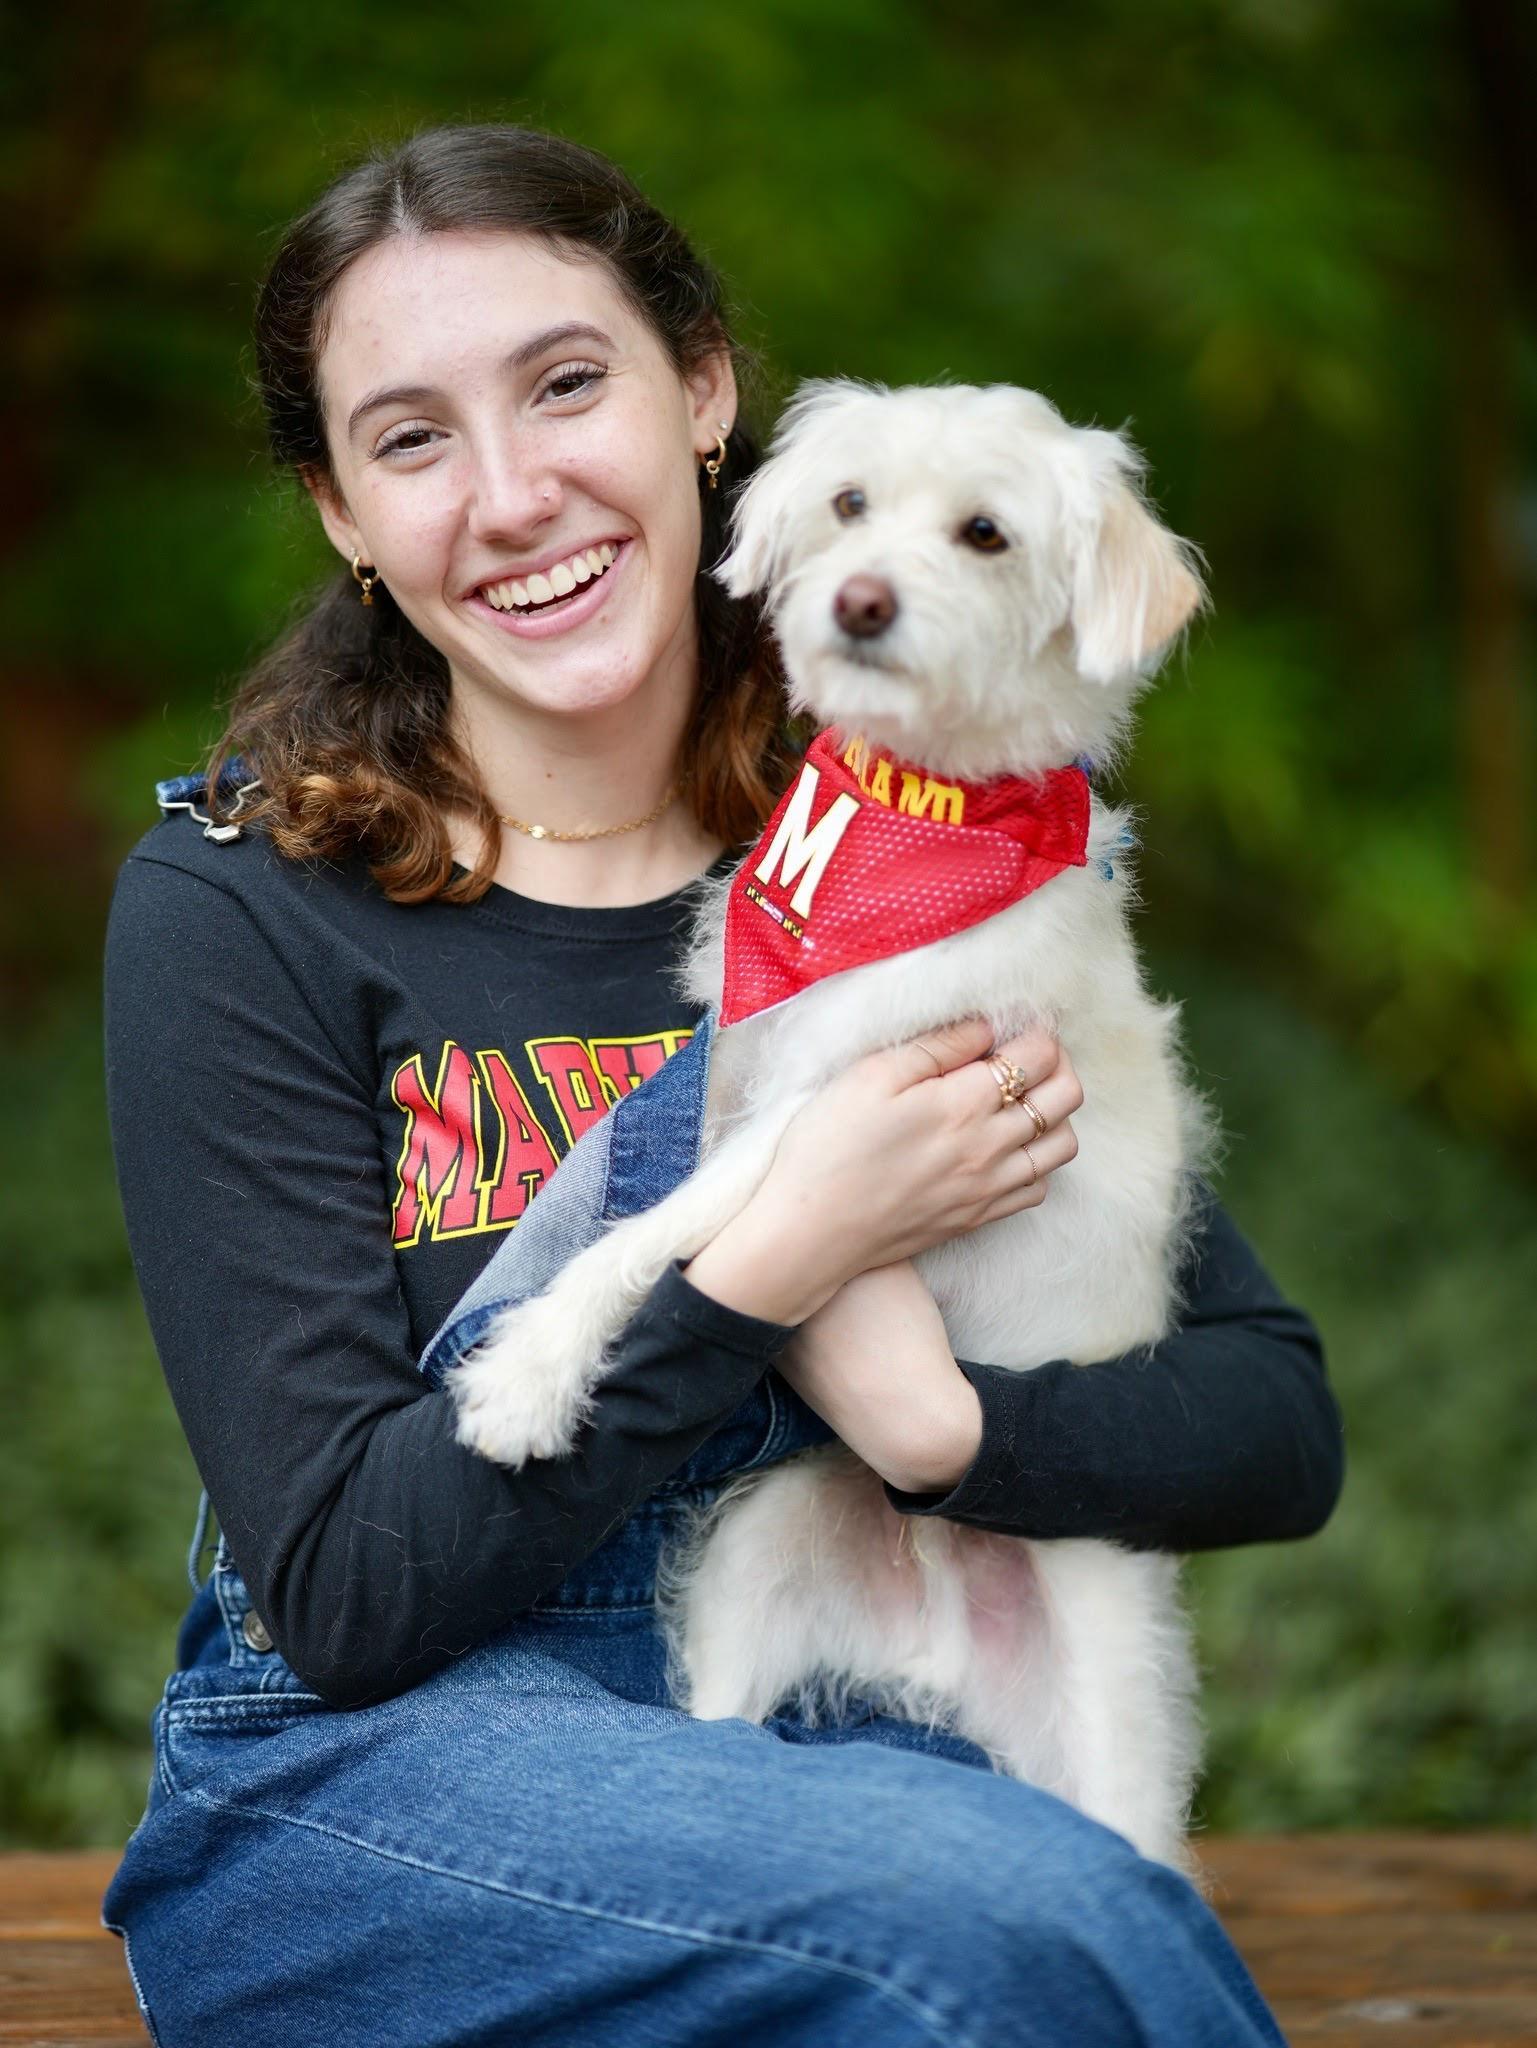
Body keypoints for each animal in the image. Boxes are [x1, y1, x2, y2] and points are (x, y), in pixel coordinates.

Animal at [450, 380, 1221, 1875]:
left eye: (984, 533)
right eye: (851, 504)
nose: (861, 599)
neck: (913, 820)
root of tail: (933, 1643)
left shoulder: (831, 1108)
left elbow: (646, 1233)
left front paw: (529, 1373)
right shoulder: (744, 1048)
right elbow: (625, 1171)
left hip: (1107, 1718)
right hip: (753, 1578)